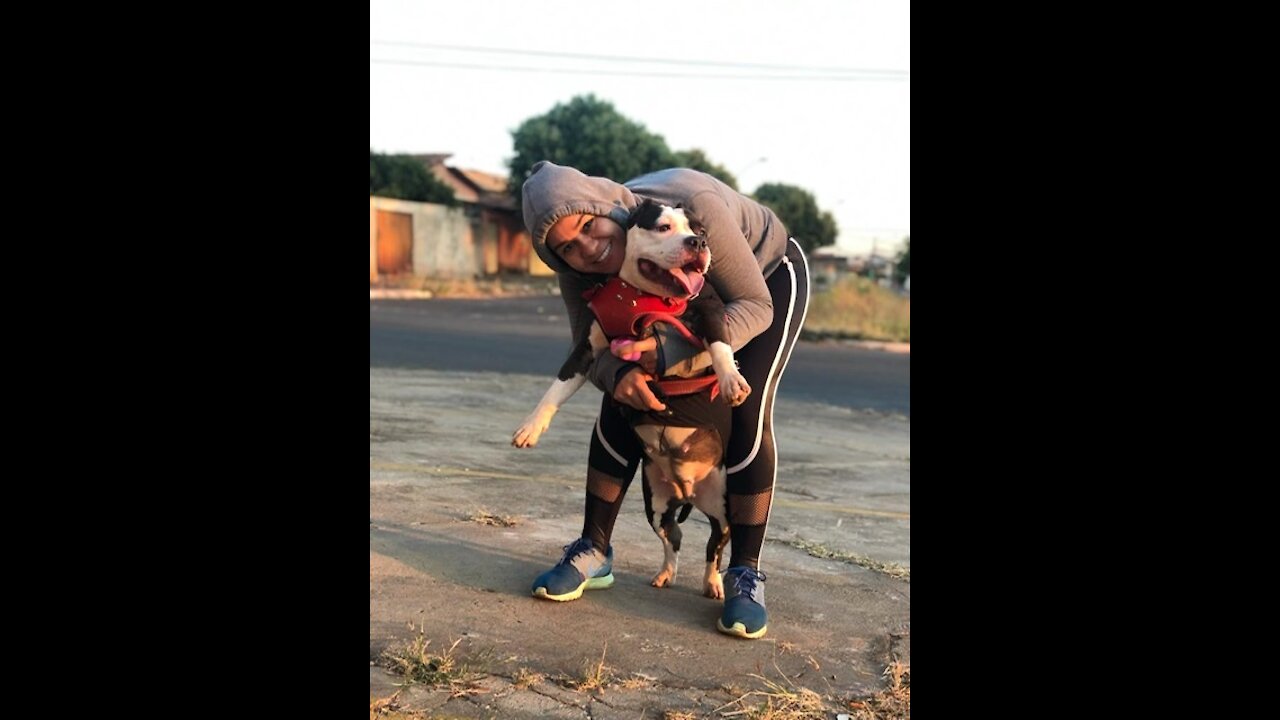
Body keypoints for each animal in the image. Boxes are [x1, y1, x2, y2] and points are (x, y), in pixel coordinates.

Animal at [512, 198, 747, 597]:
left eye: (700, 230)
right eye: (663, 227)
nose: (698, 243)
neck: (645, 299)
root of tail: (688, 491)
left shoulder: (711, 312)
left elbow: (719, 347)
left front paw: (731, 379)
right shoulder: (586, 350)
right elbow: (556, 387)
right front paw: (531, 427)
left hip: (723, 506)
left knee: (714, 548)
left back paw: (713, 583)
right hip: (656, 503)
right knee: (674, 536)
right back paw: (666, 573)